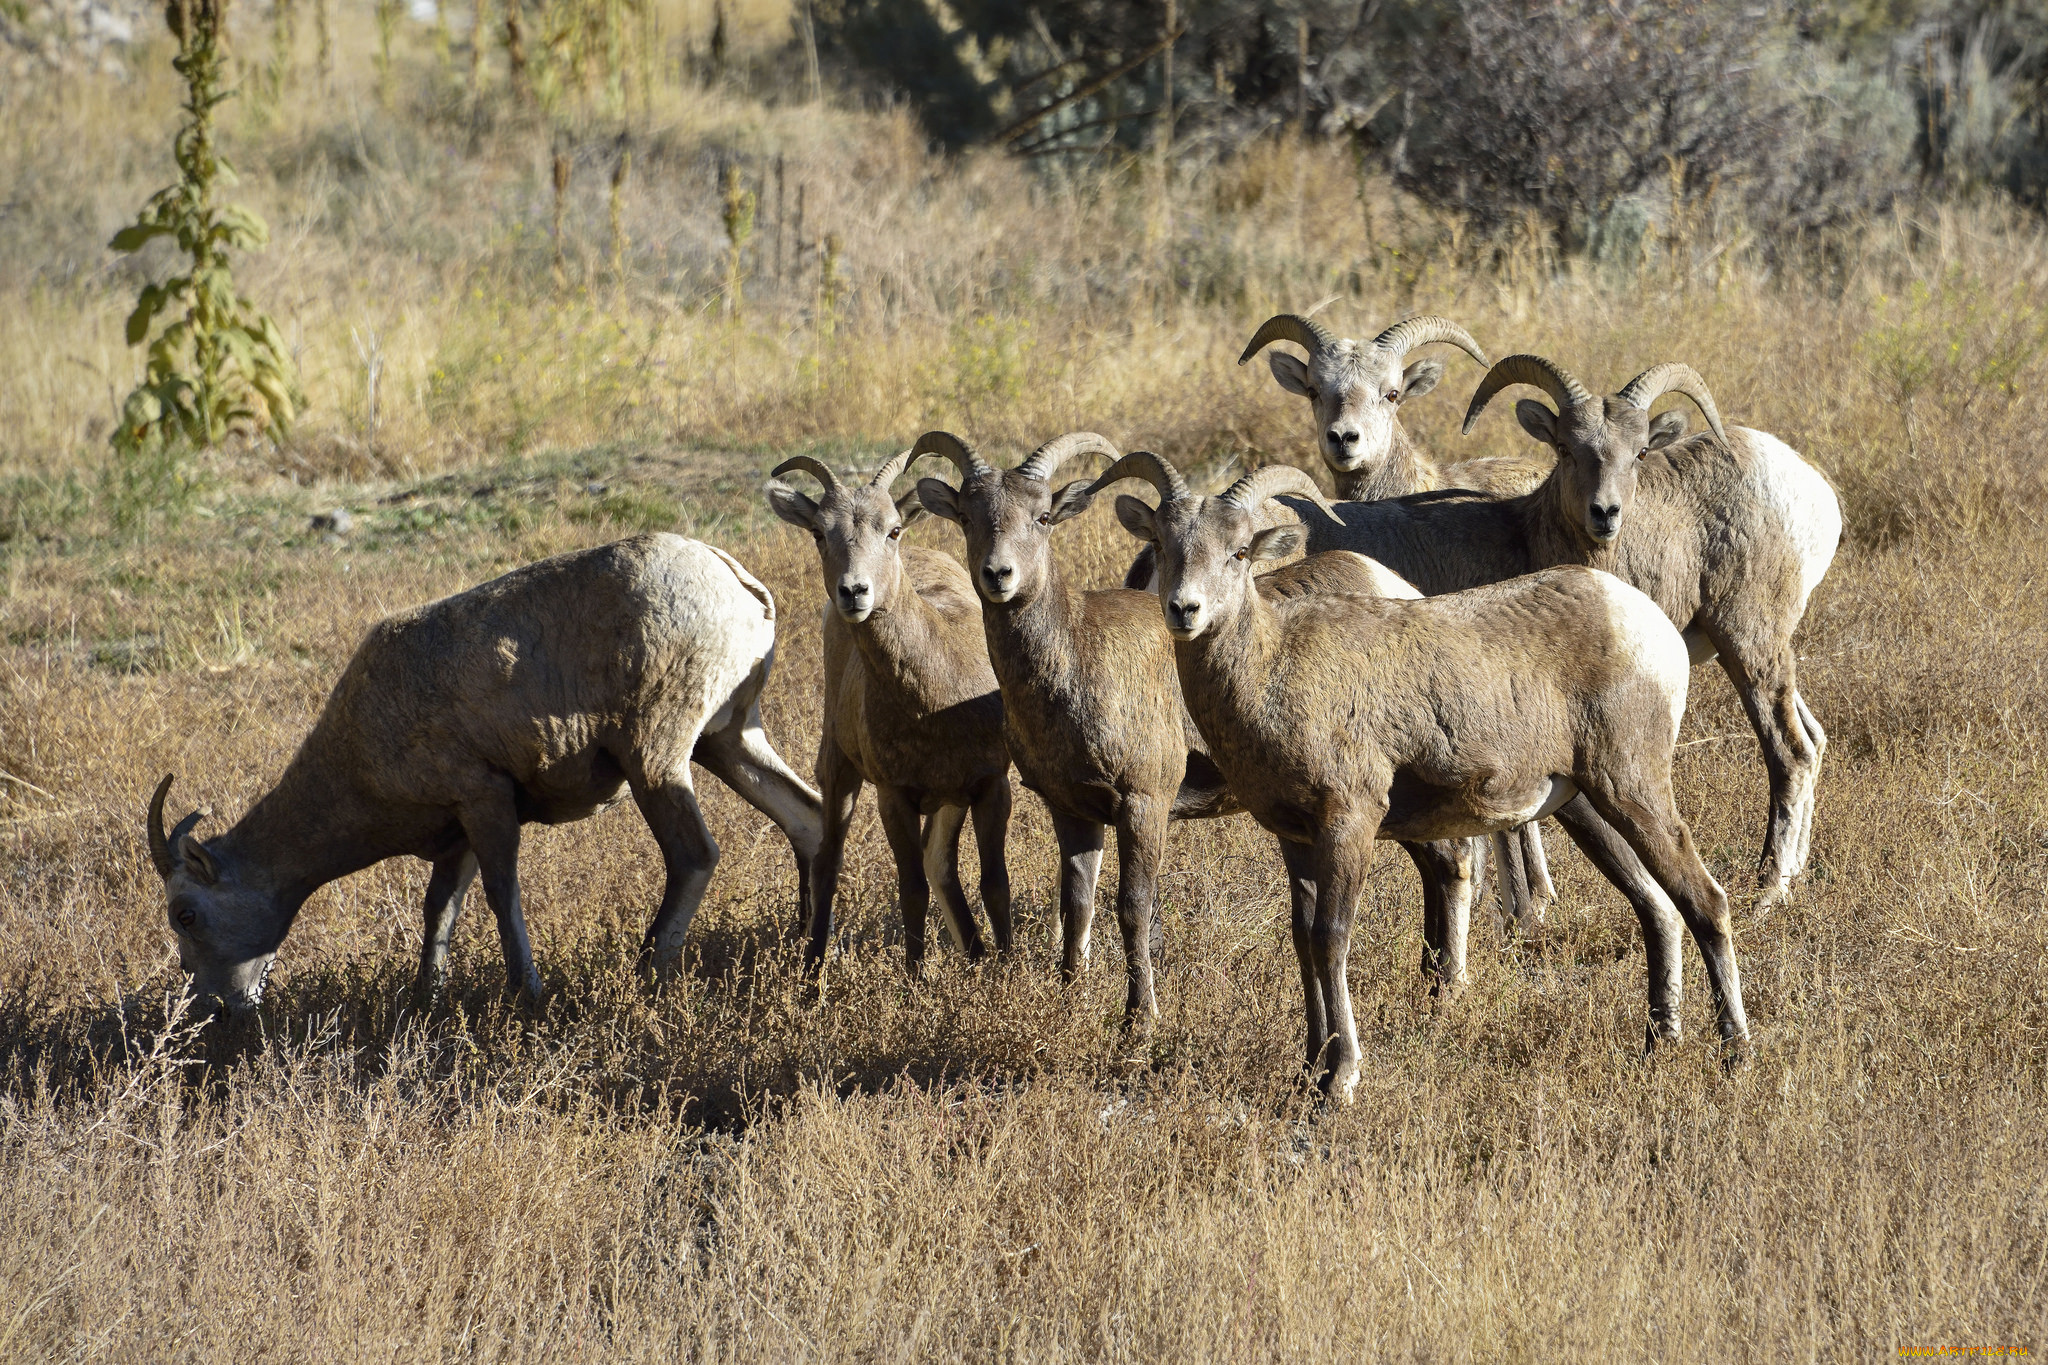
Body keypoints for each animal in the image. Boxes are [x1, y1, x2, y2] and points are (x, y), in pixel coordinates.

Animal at [144, 532, 823, 1015]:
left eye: (187, 915)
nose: (213, 1010)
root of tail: (737, 584)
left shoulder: (485, 801)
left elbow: (500, 894)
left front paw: (529, 993)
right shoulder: (458, 833)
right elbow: (439, 908)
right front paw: (427, 1000)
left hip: (657, 757)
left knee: (694, 855)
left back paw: (647, 974)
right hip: (728, 741)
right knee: (807, 817)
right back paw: (807, 948)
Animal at [770, 454, 1015, 978]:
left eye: (893, 529)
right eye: (819, 531)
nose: (854, 592)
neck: (935, 699)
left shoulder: (989, 785)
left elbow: (993, 883)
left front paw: (1006, 972)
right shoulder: (894, 795)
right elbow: (912, 891)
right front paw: (914, 980)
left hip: (947, 800)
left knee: (939, 863)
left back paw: (976, 956)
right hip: (839, 769)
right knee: (828, 863)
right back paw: (811, 977)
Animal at [921, 431, 1482, 1031]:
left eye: (1043, 516)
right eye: (967, 518)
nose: (998, 576)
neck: (1074, 660)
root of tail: (1399, 590)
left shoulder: (1144, 803)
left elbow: (1132, 908)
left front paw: (1140, 1020)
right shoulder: (1071, 810)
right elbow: (1076, 905)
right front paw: (1069, 996)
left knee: (1453, 862)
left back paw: (1448, 992)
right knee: (1435, 866)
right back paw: (1430, 984)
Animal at [1114, 456, 1753, 1096]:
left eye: (1240, 551)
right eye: (1165, 544)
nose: (1185, 610)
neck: (1273, 671)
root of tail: (1645, 623)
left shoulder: (1350, 821)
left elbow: (1331, 938)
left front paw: (1340, 1080)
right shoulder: (1294, 837)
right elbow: (1302, 940)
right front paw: (1309, 1071)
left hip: (1634, 789)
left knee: (1706, 901)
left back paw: (1735, 1053)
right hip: (1589, 806)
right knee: (1658, 906)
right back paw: (1659, 1042)